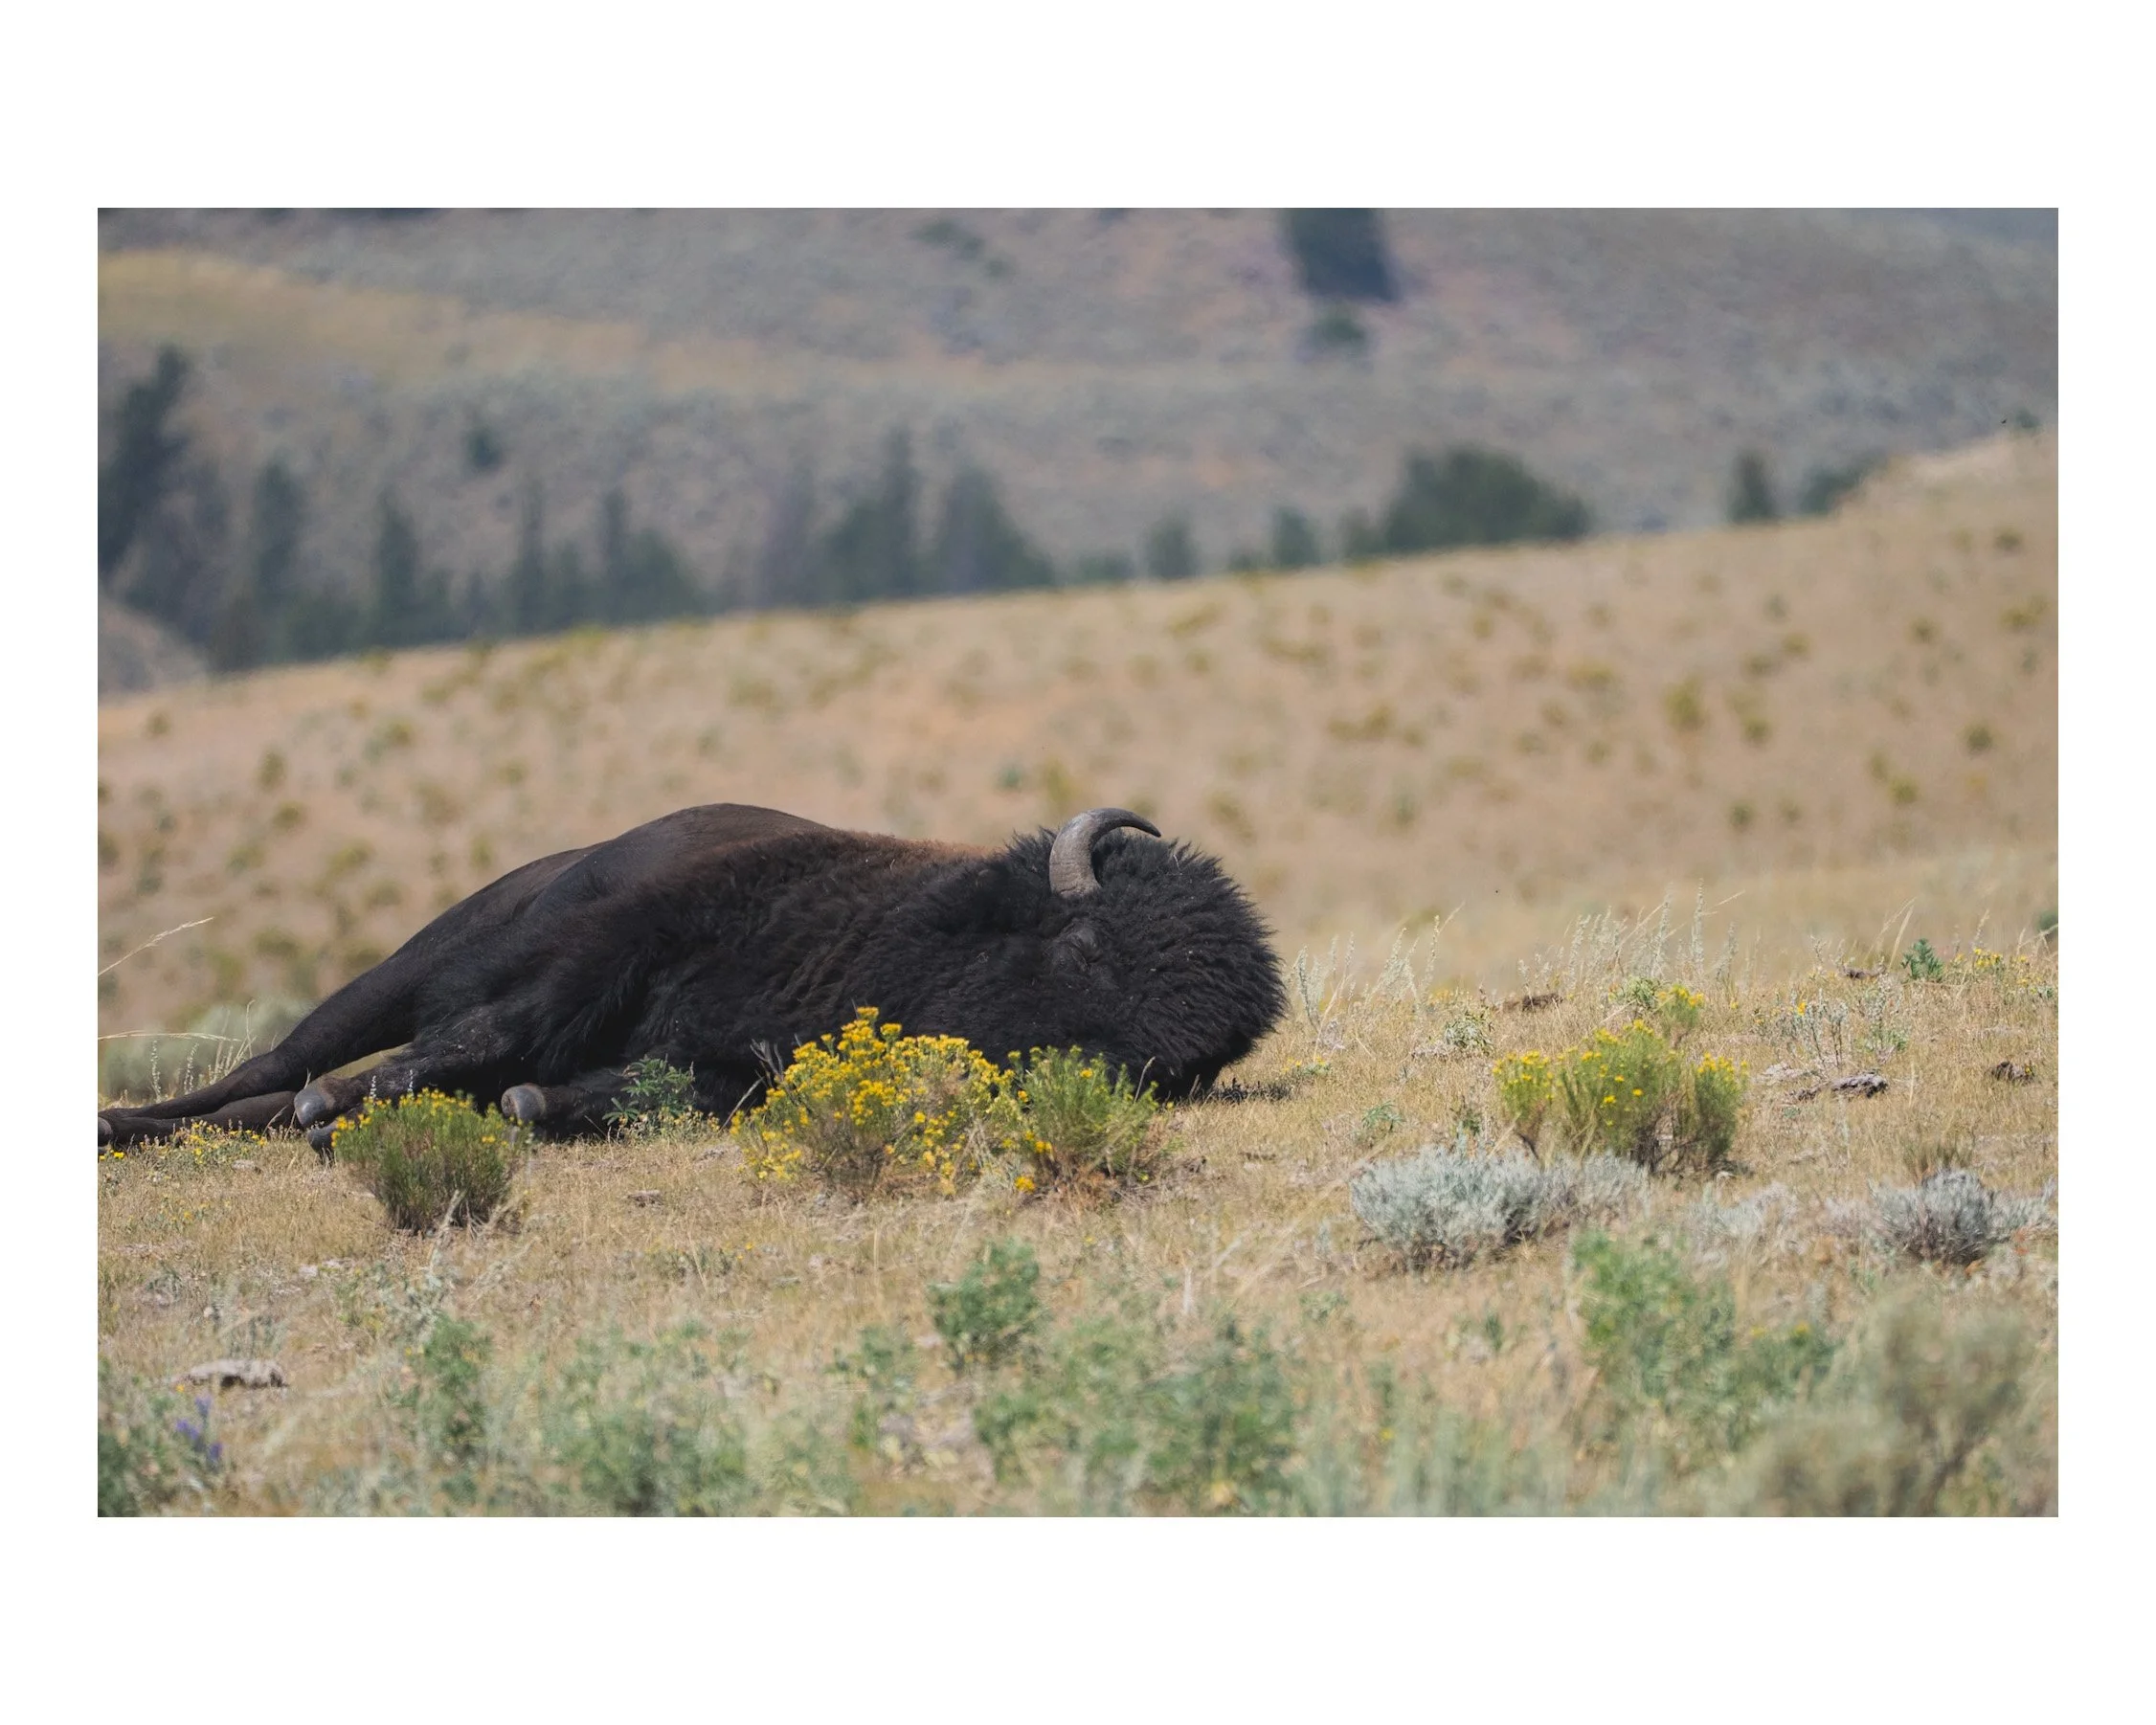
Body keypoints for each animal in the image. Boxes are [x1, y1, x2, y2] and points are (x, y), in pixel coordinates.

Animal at [97, 803, 1286, 1148]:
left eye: (1183, 1062)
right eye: (1084, 949)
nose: (1090, 1074)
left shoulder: (727, 1068)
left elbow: (624, 1088)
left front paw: (531, 1105)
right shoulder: (621, 946)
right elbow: (483, 1036)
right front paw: (366, 1102)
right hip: (410, 964)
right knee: (279, 1061)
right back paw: (125, 1125)